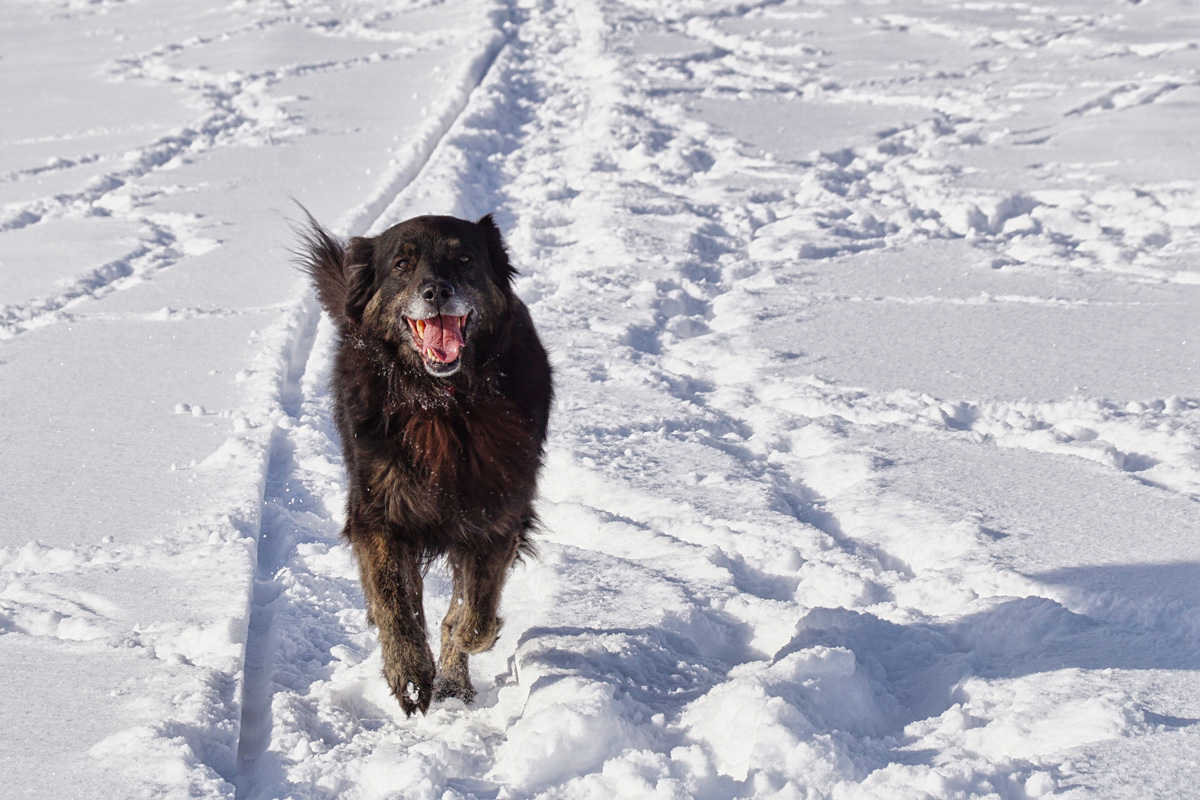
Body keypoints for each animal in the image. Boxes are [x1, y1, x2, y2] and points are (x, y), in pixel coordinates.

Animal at [297, 211, 549, 714]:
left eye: (464, 259)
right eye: (402, 264)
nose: (436, 291)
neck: (442, 403)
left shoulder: (497, 515)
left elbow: (474, 612)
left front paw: (461, 645)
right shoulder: (377, 514)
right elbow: (395, 600)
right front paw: (410, 673)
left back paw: (455, 680)